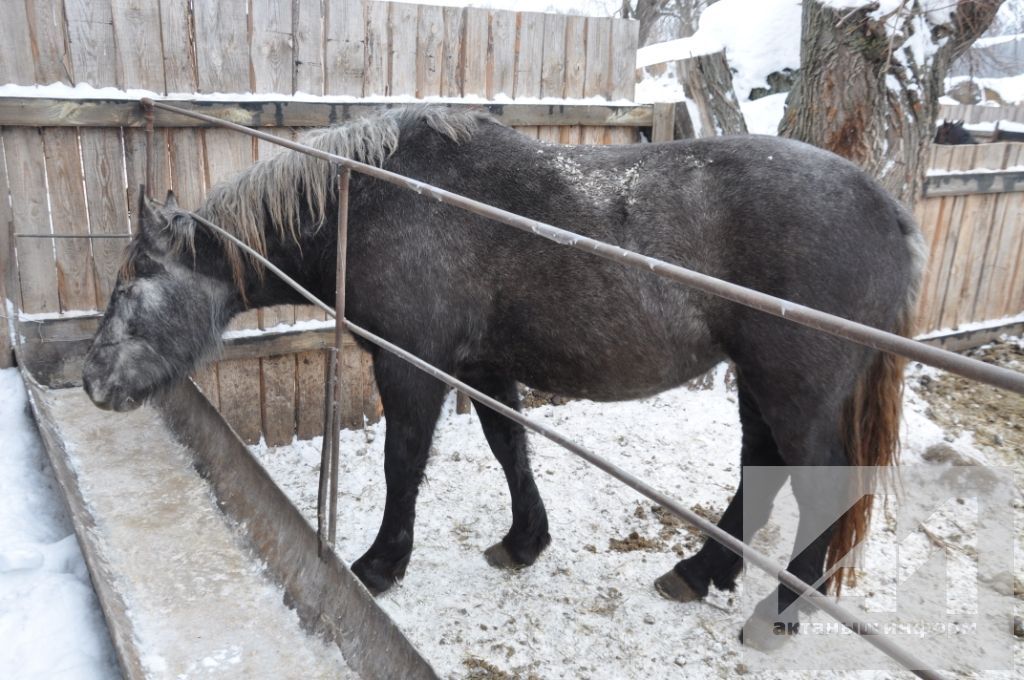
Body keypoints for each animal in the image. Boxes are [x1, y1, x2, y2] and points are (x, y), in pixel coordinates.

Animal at [83, 109, 925, 647]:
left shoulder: (410, 366)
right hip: (757, 383)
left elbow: (403, 463)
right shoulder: (481, 367)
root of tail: (890, 210)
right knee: (763, 468)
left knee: (818, 485)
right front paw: (525, 541)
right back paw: (699, 571)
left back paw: (776, 614)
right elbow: (508, 447)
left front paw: (380, 565)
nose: (91, 380)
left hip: (794, 389)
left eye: (127, 290)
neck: (376, 197)